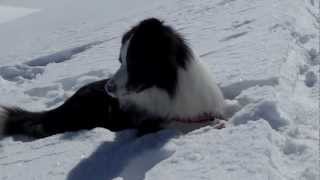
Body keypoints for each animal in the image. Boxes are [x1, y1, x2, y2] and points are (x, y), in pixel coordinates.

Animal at [0, 17, 225, 138]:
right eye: (120, 60)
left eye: (133, 62)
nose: (108, 88)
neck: (169, 87)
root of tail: (63, 106)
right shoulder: (148, 125)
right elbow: (178, 125)